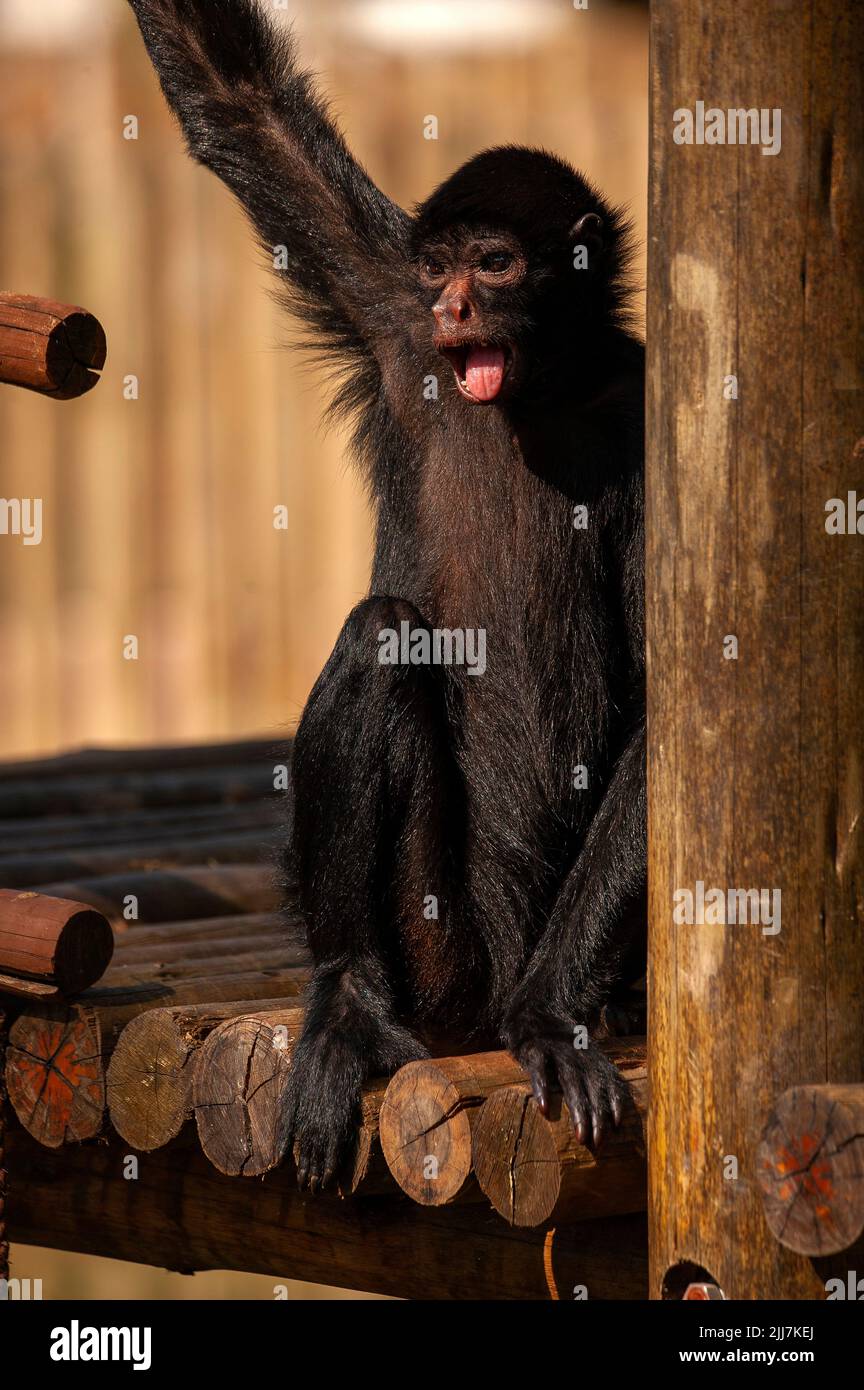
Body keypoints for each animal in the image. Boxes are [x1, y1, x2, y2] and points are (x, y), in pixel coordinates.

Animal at [127, 5, 644, 1189]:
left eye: (496, 264)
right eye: (445, 265)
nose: (457, 301)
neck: (536, 393)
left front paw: (554, 1021)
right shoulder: (394, 312)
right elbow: (238, 102)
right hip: (434, 949)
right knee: (385, 636)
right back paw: (353, 1001)